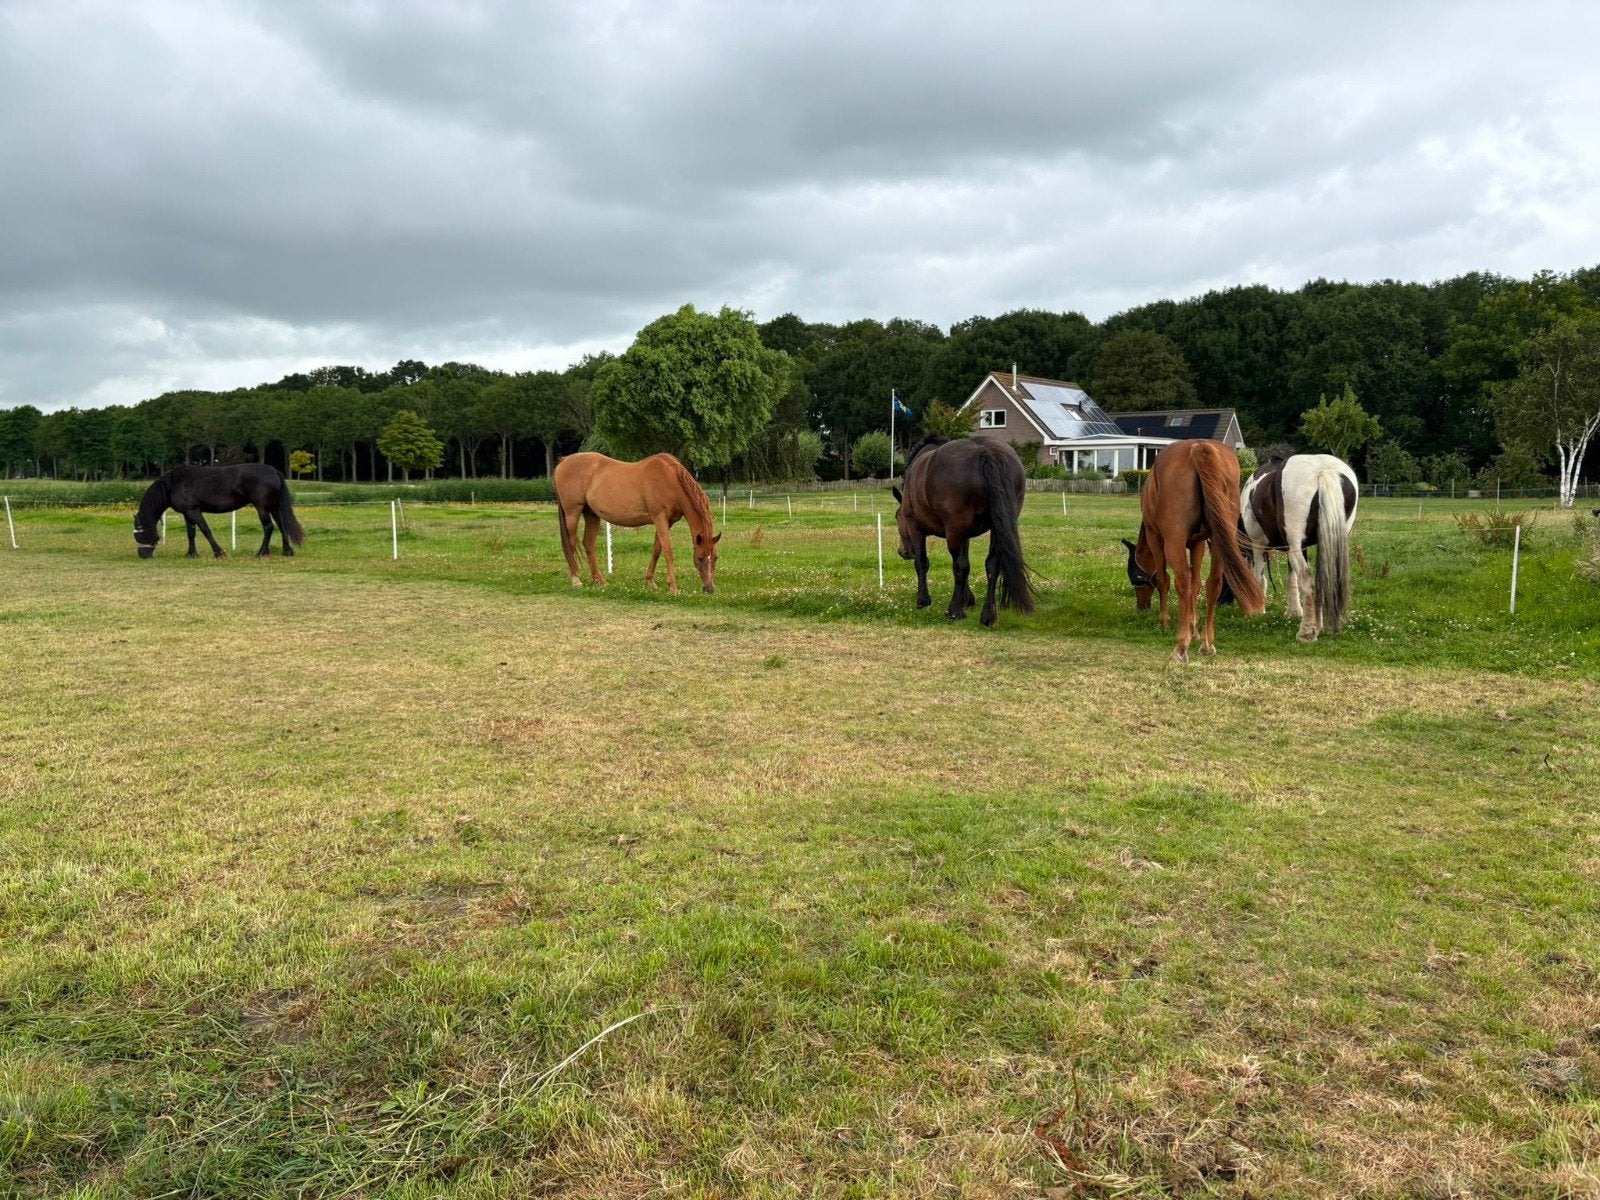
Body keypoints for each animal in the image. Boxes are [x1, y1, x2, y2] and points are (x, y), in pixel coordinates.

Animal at [134, 464, 304, 559]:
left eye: (139, 534)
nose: (142, 555)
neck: (173, 484)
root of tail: (274, 471)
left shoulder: (194, 511)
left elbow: (206, 531)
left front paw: (218, 553)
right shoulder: (187, 513)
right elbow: (191, 533)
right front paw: (191, 554)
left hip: (262, 508)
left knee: (268, 528)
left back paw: (261, 553)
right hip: (273, 507)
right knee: (282, 526)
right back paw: (287, 551)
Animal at [553, 452, 720, 594]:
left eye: (716, 557)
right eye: (700, 557)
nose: (710, 588)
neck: (670, 480)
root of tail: (564, 461)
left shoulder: (667, 523)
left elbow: (656, 550)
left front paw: (650, 581)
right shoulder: (660, 519)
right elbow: (668, 552)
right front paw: (673, 587)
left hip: (591, 515)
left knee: (588, 543)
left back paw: (600, 580)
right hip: (572, 513)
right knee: (571, 544)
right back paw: (576, 580)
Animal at [891, 435, 1035, 626]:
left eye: (897, 516)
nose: (903, 552)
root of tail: (985, 452)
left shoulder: (916, 529)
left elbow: (922, 562)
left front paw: (923, 600)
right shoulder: (963, 535)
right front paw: (968, 599)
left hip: (954, 530)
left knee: (960, 566)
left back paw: (954, 611)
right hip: (992, 527)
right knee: (992, 564)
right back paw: (988, 615)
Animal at [1121, 439, 1264, 662]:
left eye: (1136, 579)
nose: (1141, 607)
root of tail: (1199, 446)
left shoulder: (1156, 539)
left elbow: (1163, 580)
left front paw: (1165, 622)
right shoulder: (1198, 544)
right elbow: (1196, 584)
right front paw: (1194, 629)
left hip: (1174, 542)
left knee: (1182, 581)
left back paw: (1181, 646)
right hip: (1219, 539)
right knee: (1214, 582)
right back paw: (1207, 642)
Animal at [1240, 453, 1358, 642]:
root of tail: (1323, 470)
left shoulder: (1258, 544)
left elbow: (1259, 577)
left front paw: (1258, 610)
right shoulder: (1296, 547)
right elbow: (1291, 577)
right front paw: (1294, 612)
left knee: (1307, 580)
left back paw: (1307, 631)